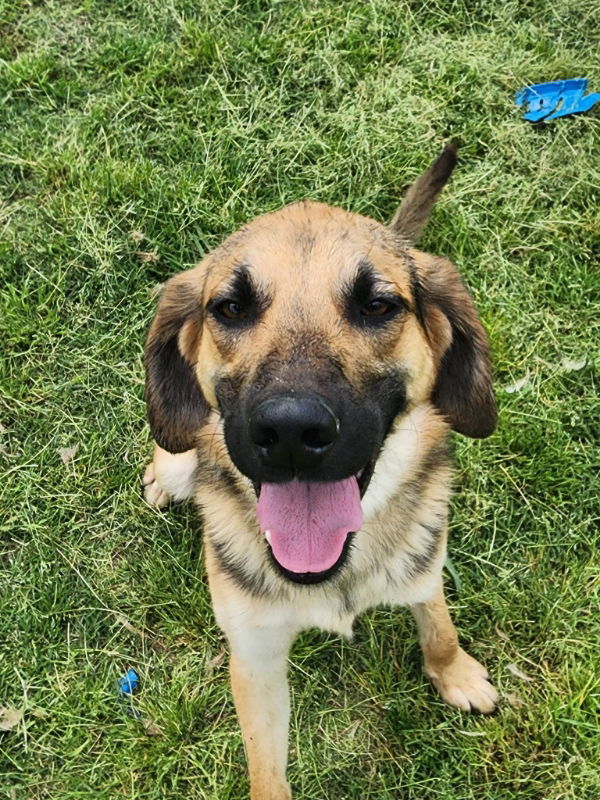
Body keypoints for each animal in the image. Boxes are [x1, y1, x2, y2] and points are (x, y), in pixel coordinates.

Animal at [141, 144, 496, 800]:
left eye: (378, 305)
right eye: (230, 308)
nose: (290, 431)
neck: (333, 576)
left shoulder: (423, 567)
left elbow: (437, 623)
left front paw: (455, 672)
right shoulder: (254, 656)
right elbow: (266, 771)